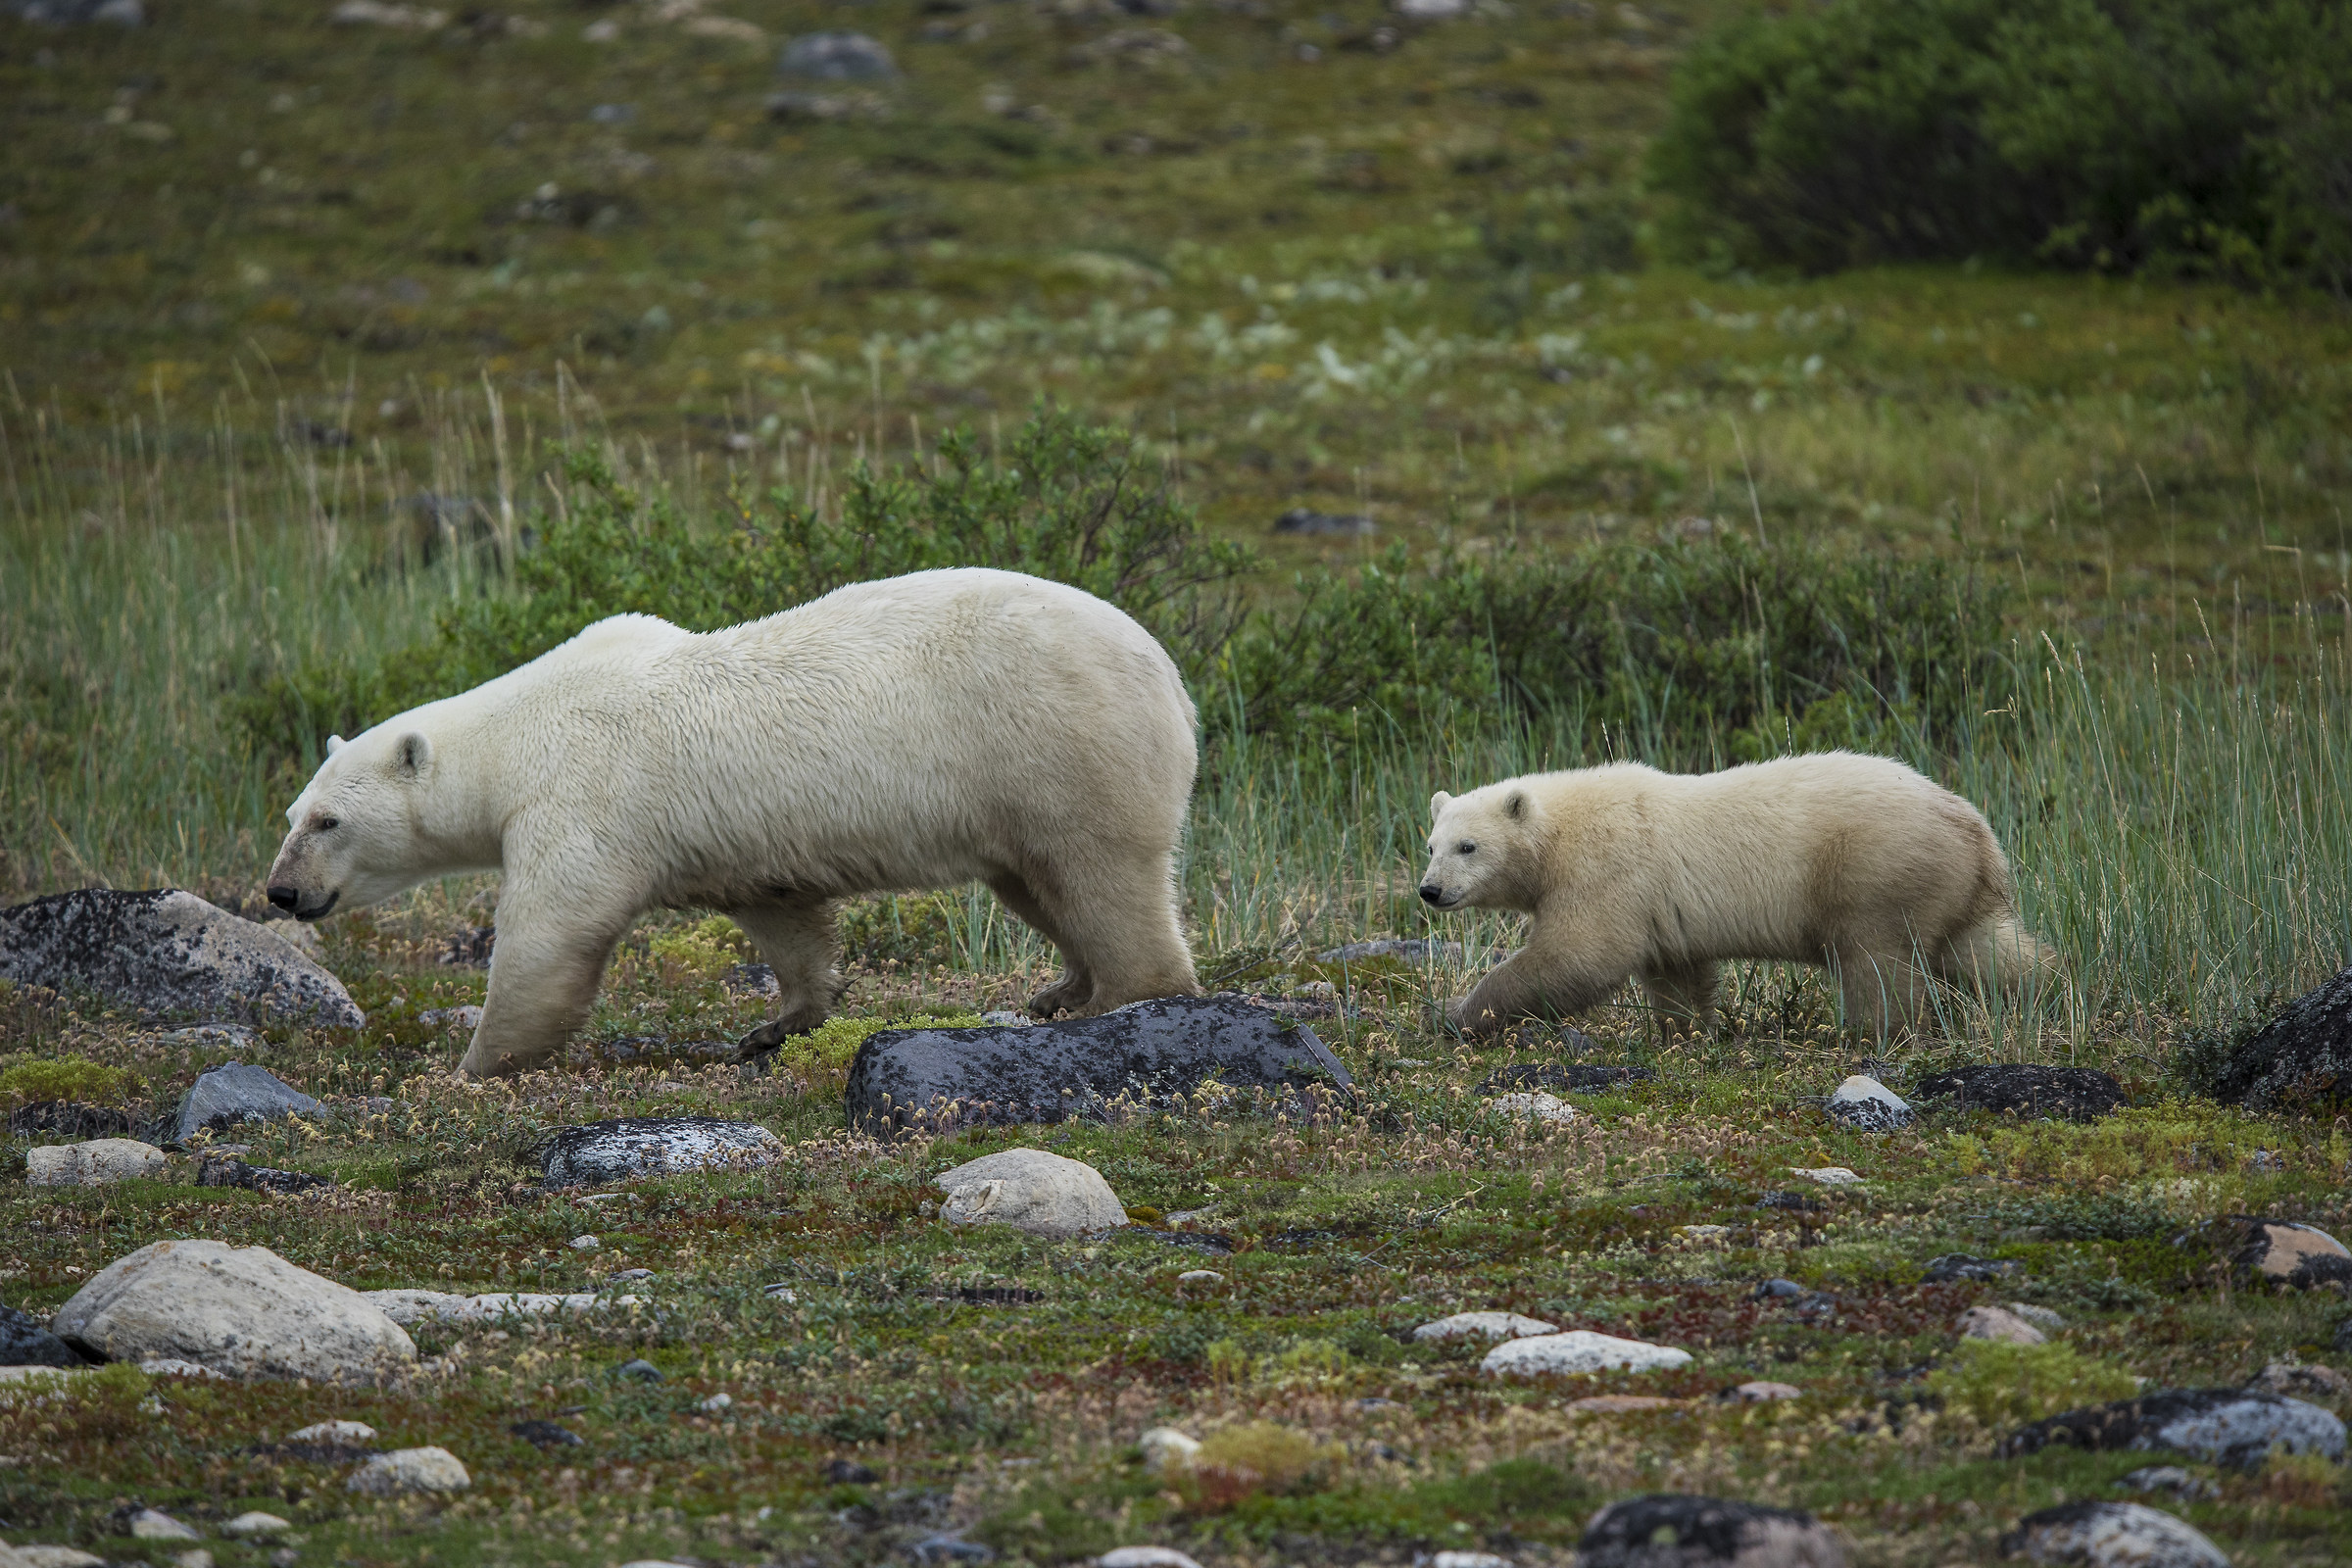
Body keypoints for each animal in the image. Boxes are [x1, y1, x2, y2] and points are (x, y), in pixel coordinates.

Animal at [264, 567, 1202, 1077]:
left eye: (329, 822)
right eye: (293, 813)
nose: (280, 893)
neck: (516, 735)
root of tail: (1167, 669)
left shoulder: (581, 796)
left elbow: (549, 934)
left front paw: (473, 1064)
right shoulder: (736, 844)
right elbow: (782, 916)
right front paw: (778, 1023)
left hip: (1057, 746)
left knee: (1101, 875)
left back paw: (1118, 994)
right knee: (1038, 883)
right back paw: (1061, 988)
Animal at [1417, 753, 2058, 1040]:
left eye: (1468, 846)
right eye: (1430, 844)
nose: (1430, 890)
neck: (1558, 833)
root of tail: (1976, 832)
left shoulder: (1605, 872)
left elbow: (1577, 957)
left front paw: (1452, 1013)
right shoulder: (1660, 906)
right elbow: (1676, 971)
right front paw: (1683, 1032)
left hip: (1873, 870)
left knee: (1878, 963)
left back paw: (1874, 1033)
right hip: (1950, 888)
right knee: (1988, 950)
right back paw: (2052, 991)